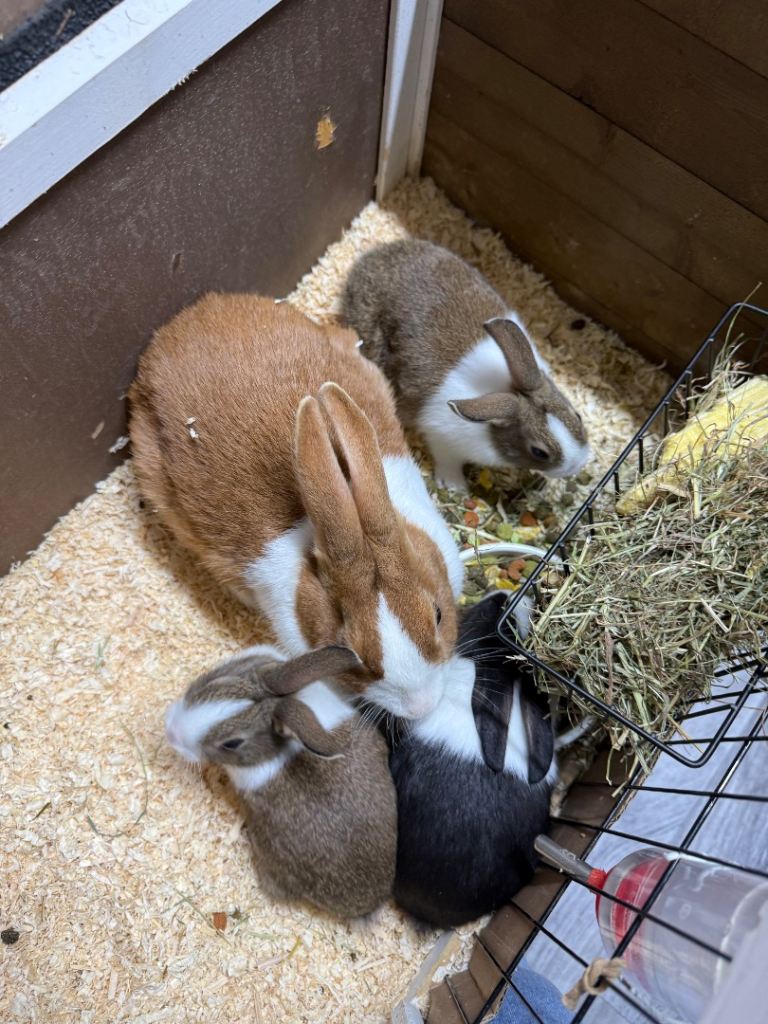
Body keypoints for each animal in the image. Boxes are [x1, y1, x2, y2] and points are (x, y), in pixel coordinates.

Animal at [341, 239, 590, 492]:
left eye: (577, 416)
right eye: (539, 452)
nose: (578, 465)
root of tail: (370, 257)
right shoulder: (443, 439)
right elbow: (448, 461)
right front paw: (454, 485)